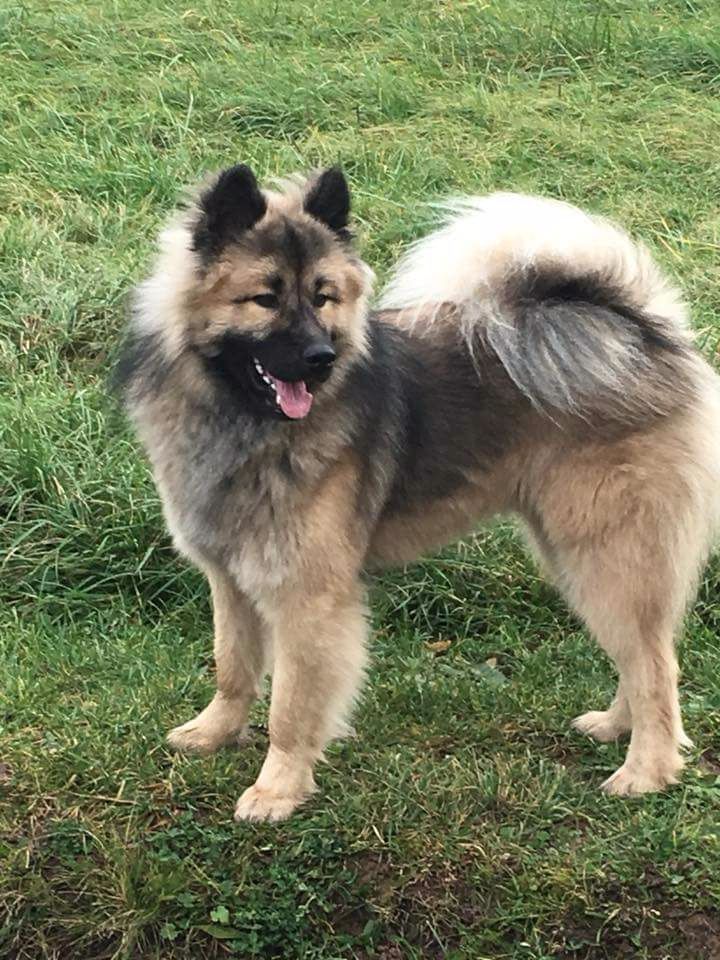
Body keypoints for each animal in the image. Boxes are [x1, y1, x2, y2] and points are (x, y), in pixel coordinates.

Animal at [118, 163, 720, 816]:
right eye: (266, 298)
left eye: (323, 296)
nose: (320, 357)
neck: (245, 424)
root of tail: (649, 335)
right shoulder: (230, 578)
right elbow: (232, 667)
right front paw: (214, 733)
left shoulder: (308, 597)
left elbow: (292, 708)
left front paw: (277, 789)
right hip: (576, 554)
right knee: (640, 656)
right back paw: (615, 727)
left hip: (608, 552)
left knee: (655, 664)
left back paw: (648, 769)